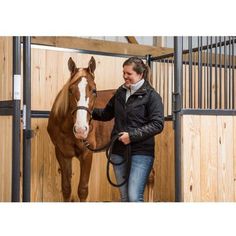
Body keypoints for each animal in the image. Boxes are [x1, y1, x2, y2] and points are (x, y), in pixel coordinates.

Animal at [46, 56, 113, 201]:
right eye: (70, 90)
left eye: (94, 90)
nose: (81, 130)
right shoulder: (62, 154)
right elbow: (66, 188)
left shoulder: (87, 154)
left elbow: (82, 190)